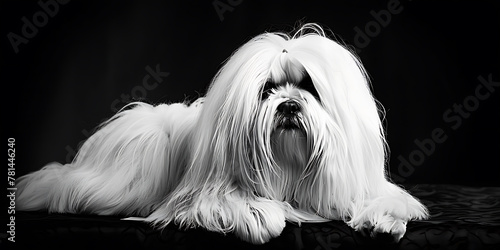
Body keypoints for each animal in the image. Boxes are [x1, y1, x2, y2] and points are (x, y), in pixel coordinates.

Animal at [17, 23, 428, 244]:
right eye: (267, 90)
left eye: (308, 87)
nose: (288, 105)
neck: (289, 167)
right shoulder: (204, 198)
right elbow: (231, 204)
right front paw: (263, 216)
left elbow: (383, 202)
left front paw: (385, 220)